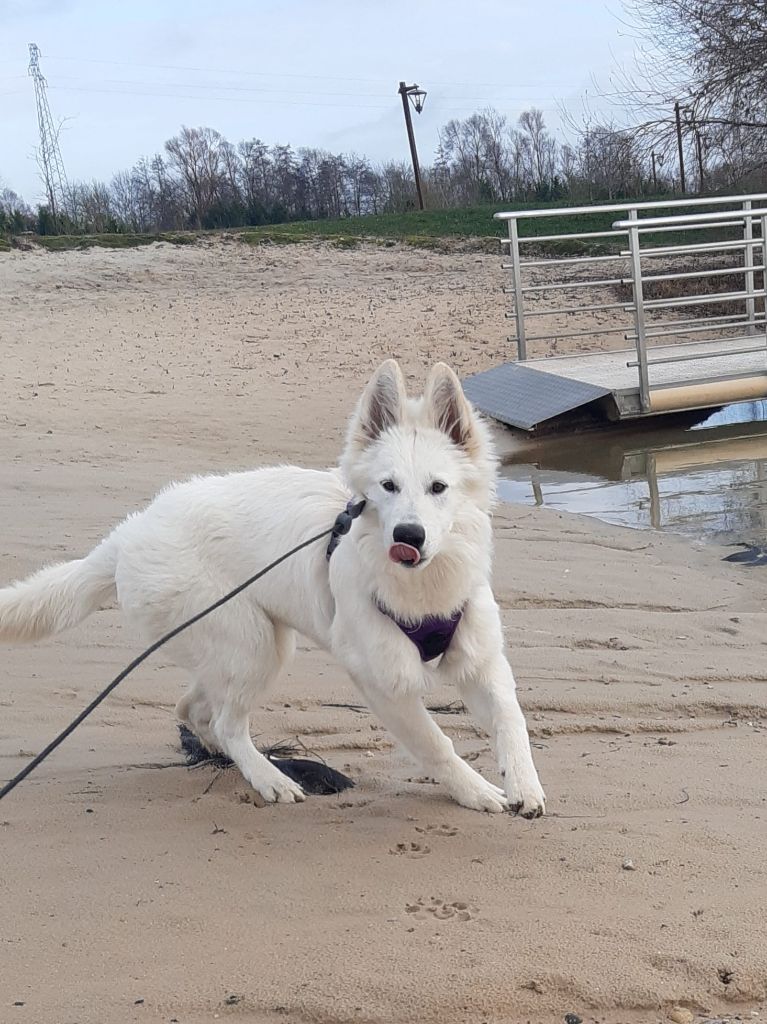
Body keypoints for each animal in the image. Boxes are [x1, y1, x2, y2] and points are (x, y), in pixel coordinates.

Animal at [2, 360, 548, 815]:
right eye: (388, 486)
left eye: (438, 488)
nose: (407, 537)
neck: (421, 588)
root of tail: (127, 535)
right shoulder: (381, 683)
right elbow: (437, 744)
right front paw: (476, 791)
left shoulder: (481, 661)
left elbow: (511, 719)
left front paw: (523, 783)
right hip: (256, 645)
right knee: (225, 721)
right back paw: (268, 778)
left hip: (240, 648)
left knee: (195, 710)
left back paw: (235, 760)